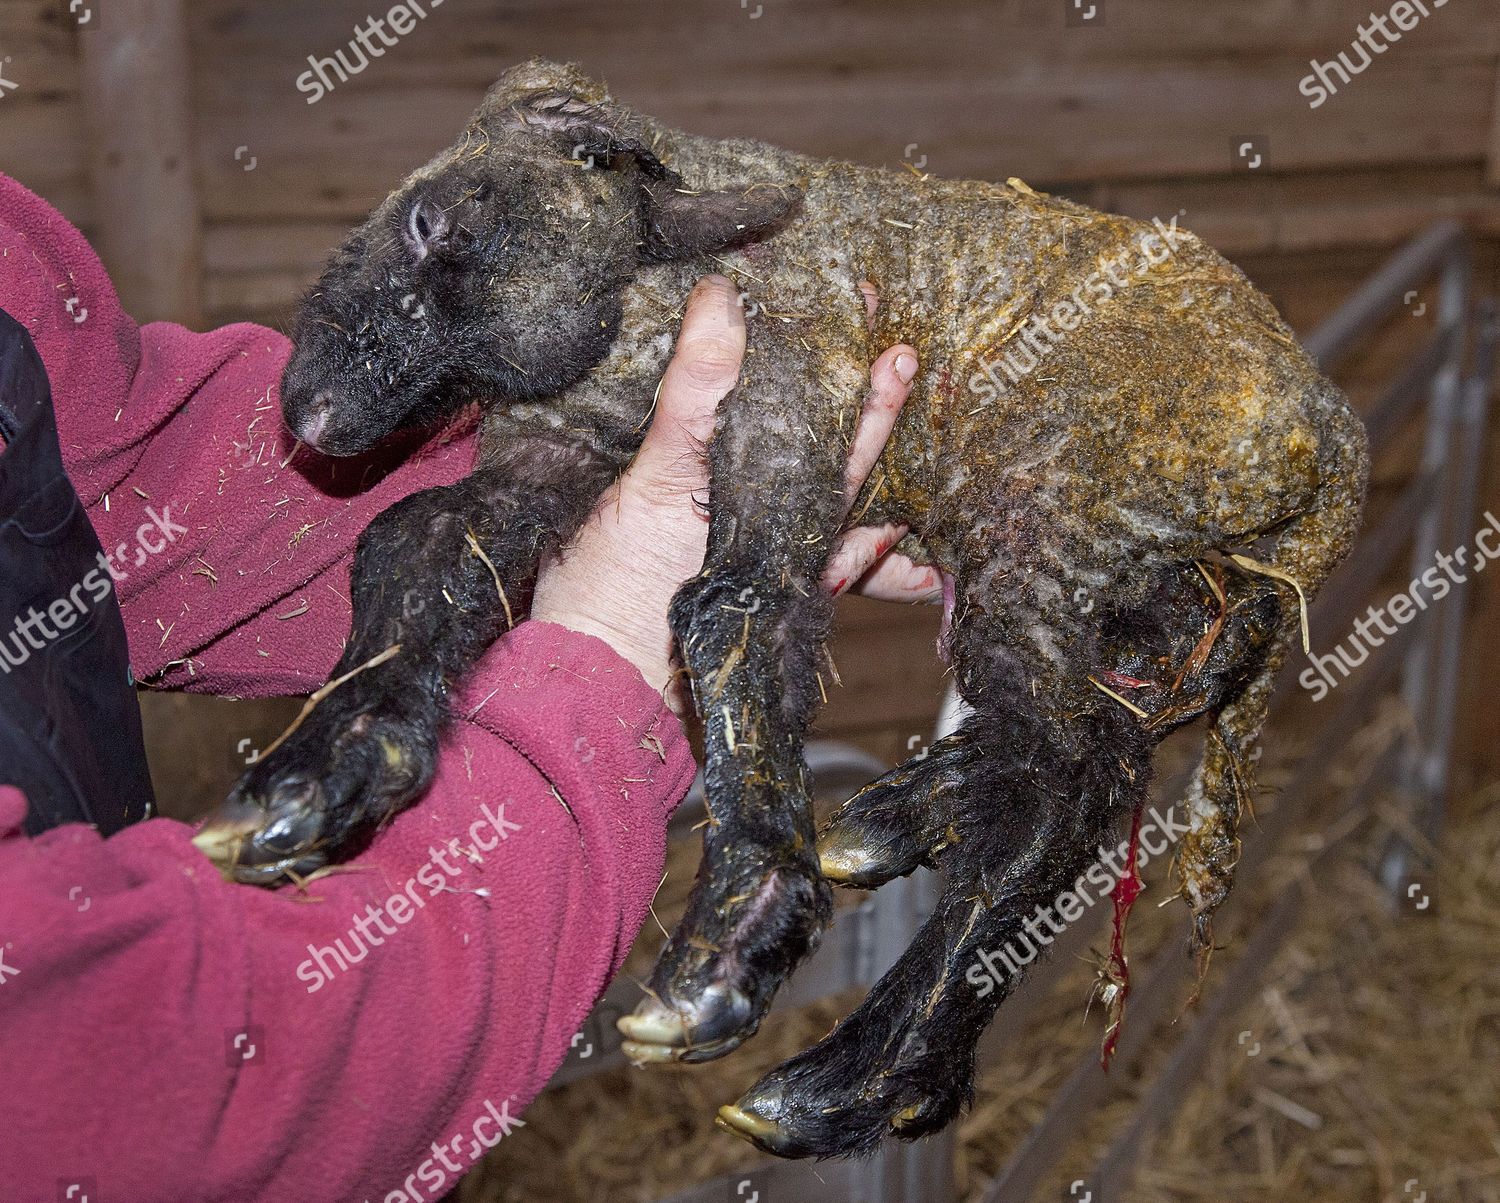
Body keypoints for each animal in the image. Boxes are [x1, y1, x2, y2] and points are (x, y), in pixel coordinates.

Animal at [197, 58, 1367, 1158]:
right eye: (423, 220)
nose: (315, 418)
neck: (644, 309)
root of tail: (1330, 435)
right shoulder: (557, 440)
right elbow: (419, 540)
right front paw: (316, 780)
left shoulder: (788, 390)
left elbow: (734, 606)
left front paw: (738, 935)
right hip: (1149, 576)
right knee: (1132, 721)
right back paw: (900, 822)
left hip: (1048, 507)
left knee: (1062, 780)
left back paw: (864, 1080)